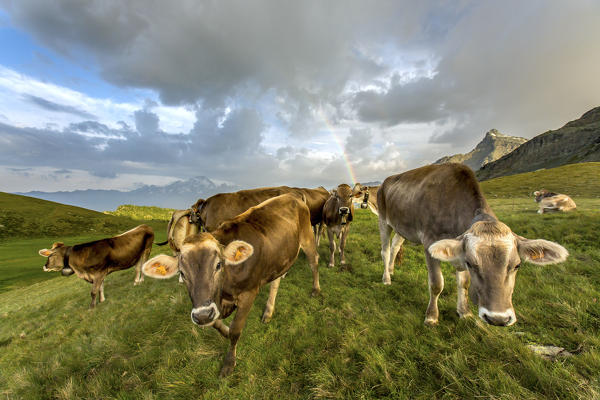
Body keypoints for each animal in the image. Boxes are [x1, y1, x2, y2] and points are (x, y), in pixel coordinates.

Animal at [142, 195, 318, 376]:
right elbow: (217, 324)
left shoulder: (248, 294)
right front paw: (224, 330)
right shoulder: (210, 306)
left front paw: (229, 363)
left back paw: (315, 290)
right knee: (275, 281)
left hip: (307, 237)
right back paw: (268, 312)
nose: (202, 316)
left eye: (218, 265)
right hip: (279, 256)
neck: (224, 291)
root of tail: (293, 196)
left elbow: (235, 331)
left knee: (314, 262)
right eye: (182, 273)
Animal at [378, 164, 568, 326]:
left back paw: (392, 270)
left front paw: (465, 312)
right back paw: (386, 278)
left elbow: (464, 283)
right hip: (384, 220)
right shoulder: (429, 242)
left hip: (402, 227)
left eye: (517, 265)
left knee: (395, 246)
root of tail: (387, 180)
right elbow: (436, 284)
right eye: (471, 263)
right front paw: (431, 317)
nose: (497, 318)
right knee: (385, 250)